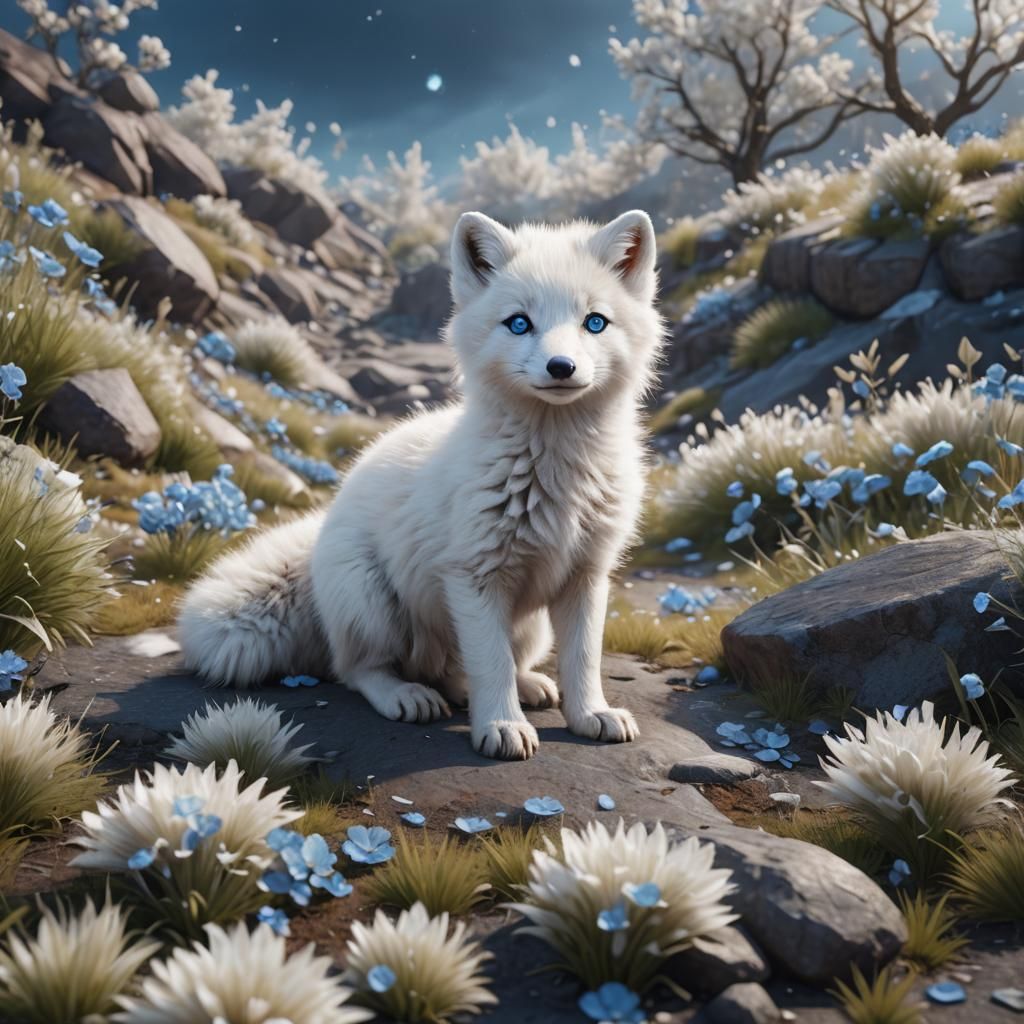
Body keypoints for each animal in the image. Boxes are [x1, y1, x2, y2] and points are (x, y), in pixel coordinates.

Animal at [178, 209, 664, 760]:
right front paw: (501, 726)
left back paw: (524, 685)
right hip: (371, 602)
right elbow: (490, 662)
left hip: (530, 627)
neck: (557, 472)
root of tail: (318, 539)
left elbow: (582, 659)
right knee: (359, 669)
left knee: (461, 671)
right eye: (519, 323)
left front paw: (590, 715)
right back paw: (407, 695)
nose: (561, 368)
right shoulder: (473, 577)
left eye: (594, 322)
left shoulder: (587, 575)